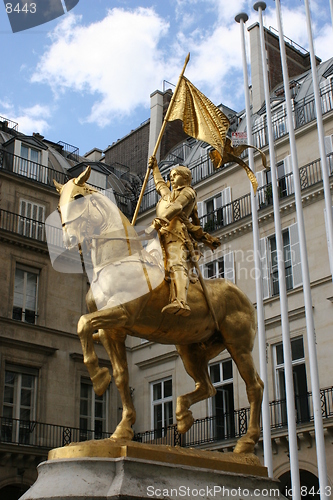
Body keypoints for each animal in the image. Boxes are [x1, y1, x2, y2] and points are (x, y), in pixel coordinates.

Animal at [53, 167, 262, 454]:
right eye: (58, 206)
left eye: (78, 197)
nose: (69, 240)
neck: (117, 259)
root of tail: (241, 295)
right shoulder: (113, 332)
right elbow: (121, 375)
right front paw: (122, 428)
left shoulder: (121, 313)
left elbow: (82, 323)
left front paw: (97, 377)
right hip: (189, 349)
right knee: (207, 387)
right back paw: (183, 416)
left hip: (238, 346)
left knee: (254, 387)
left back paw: (246, 442)